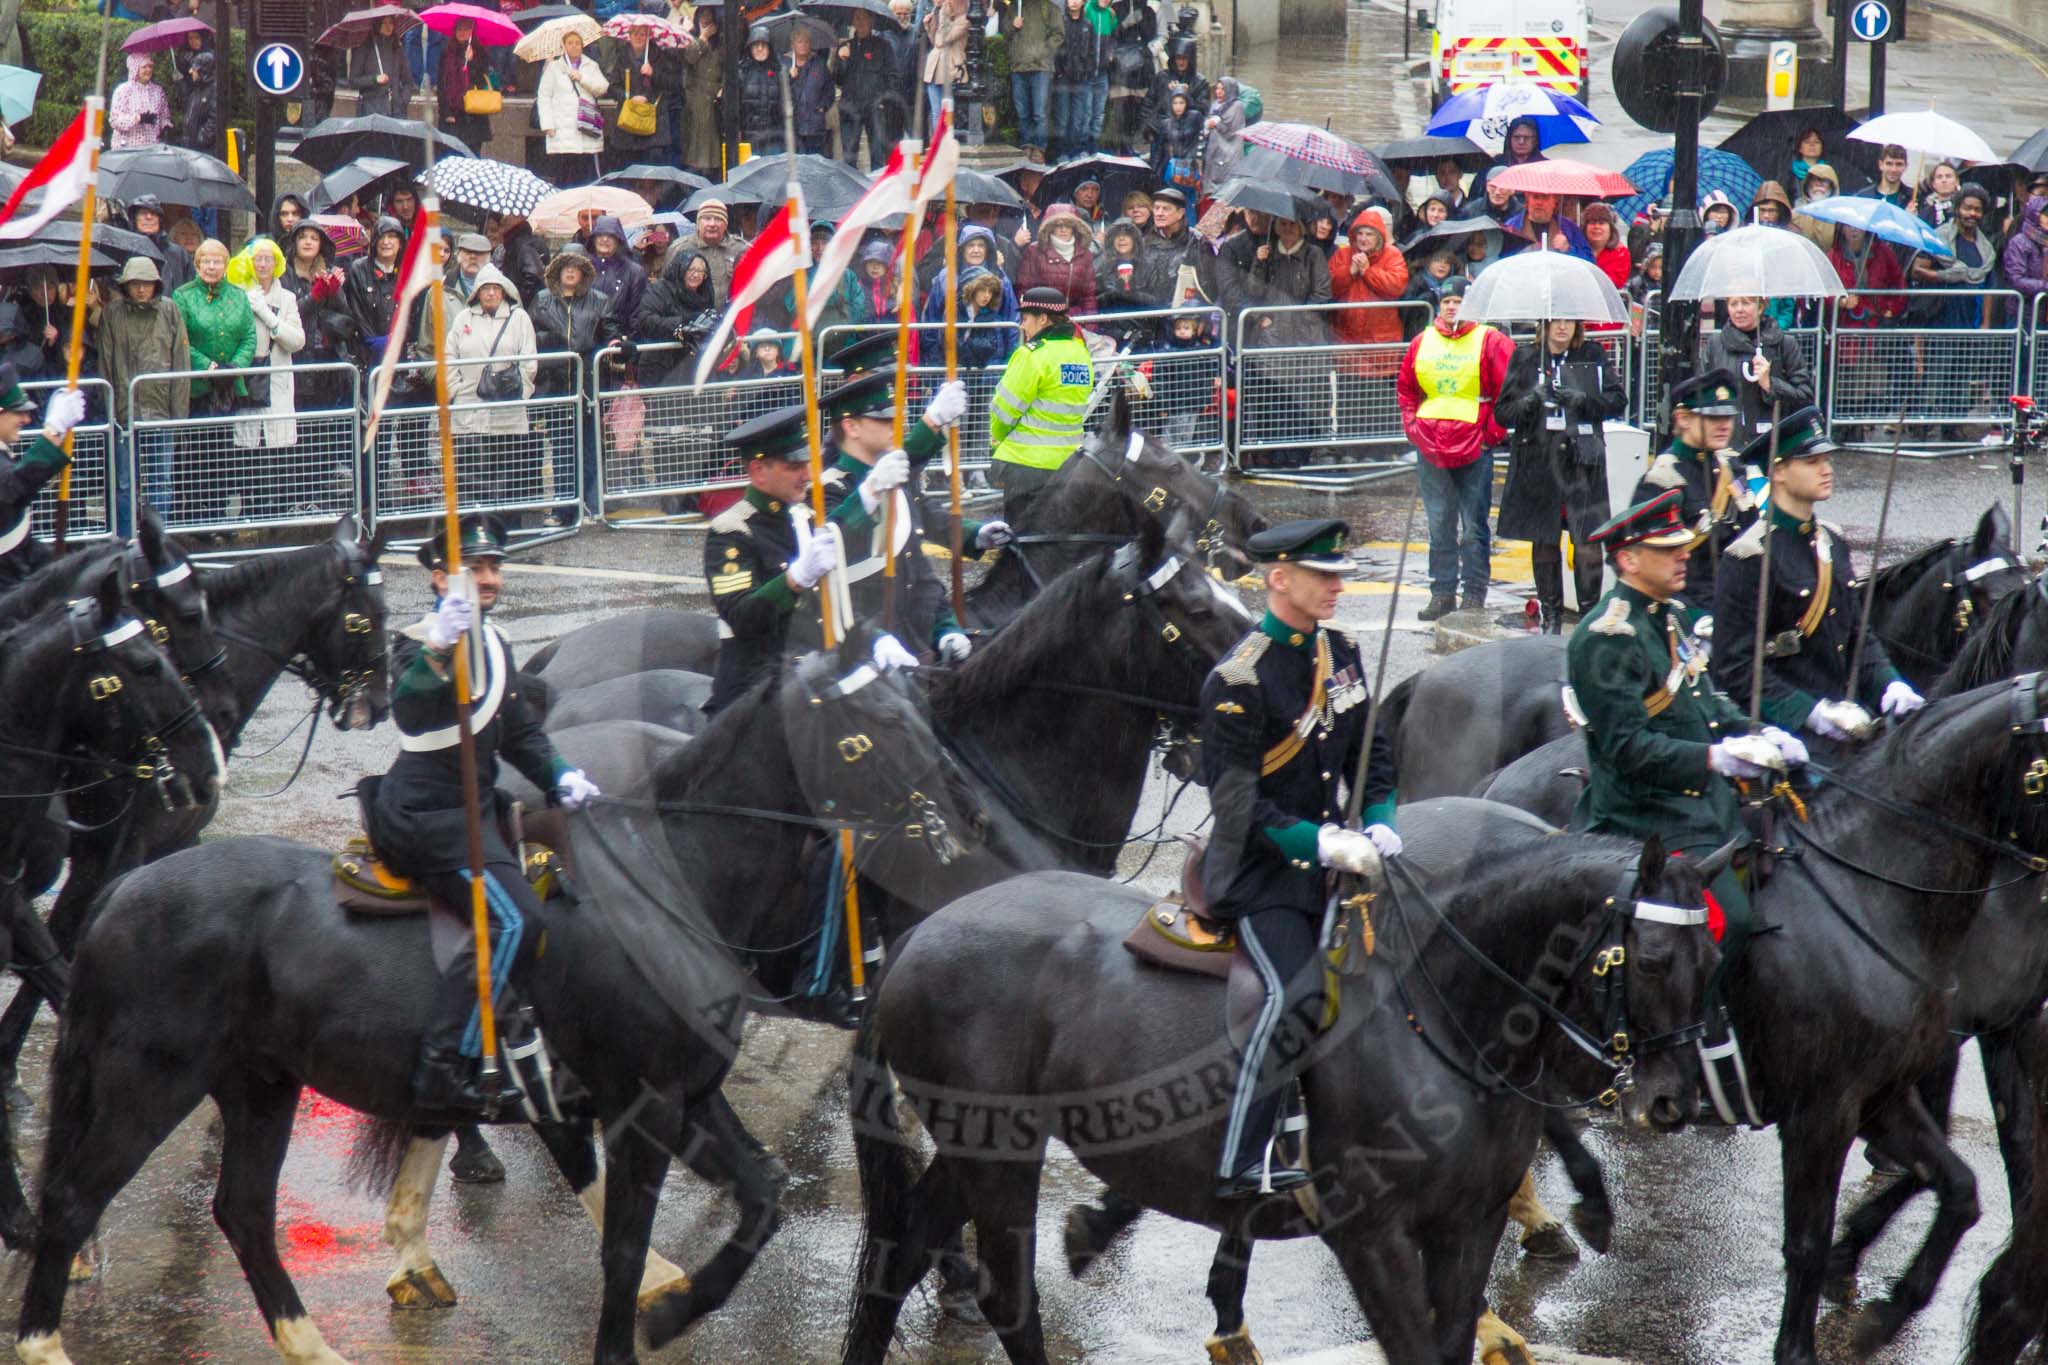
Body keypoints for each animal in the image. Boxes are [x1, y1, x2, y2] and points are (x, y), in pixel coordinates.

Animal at [16, 638, 974, 1365]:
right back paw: (43, 1342)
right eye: (883, 720)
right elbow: (625, 1244)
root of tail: (126, 891)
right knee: (72, 1199)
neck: (672, 885)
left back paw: (314, 1343)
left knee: (243, 1211)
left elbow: (764, 1195)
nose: (963, 810)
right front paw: (632, 1331)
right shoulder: (639, 1104)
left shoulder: (686, 1095)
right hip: (149, 1084)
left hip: (260, 1084)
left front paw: (674, 1310)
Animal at [839, 802, 1720, 1365]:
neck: (1438, 1012)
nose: (1672, 1100)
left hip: (971, 1151)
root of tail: (922, 929)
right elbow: (1413, 1348)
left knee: (897, 1257)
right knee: (1008, 1298)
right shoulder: (1369, 1234)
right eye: (1649, 959)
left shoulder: (1468, 1224)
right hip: (1001, 1156)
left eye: (1711, 954)